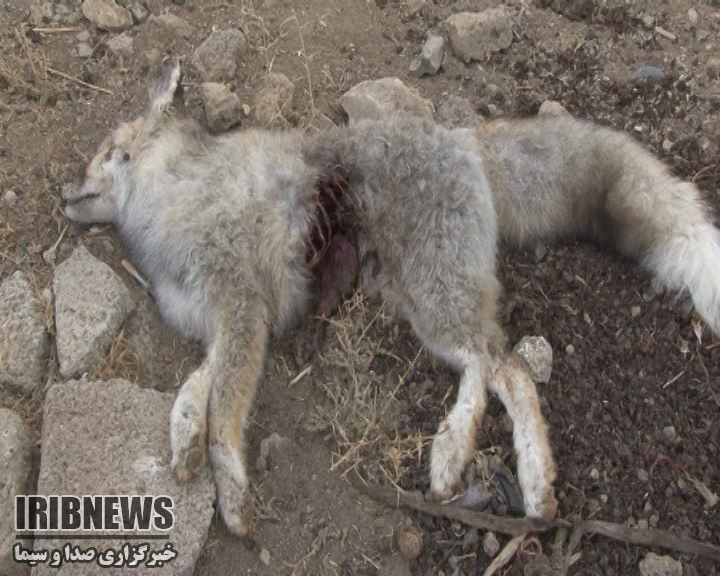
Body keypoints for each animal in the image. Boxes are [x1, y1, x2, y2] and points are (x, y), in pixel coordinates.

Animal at [62, 56, 720, 537]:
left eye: (104, 153)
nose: (63, 189)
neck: (176, 198)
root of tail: (463, 137)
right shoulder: (224, 327)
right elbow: (194, 392)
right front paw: (184, 446)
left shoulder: (244, 312)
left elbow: (224, 415)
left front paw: (233, 497)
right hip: (416, 300)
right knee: (497, 370)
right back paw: (495, 475)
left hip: (435, 296)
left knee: (501, 366)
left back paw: (477, 465)